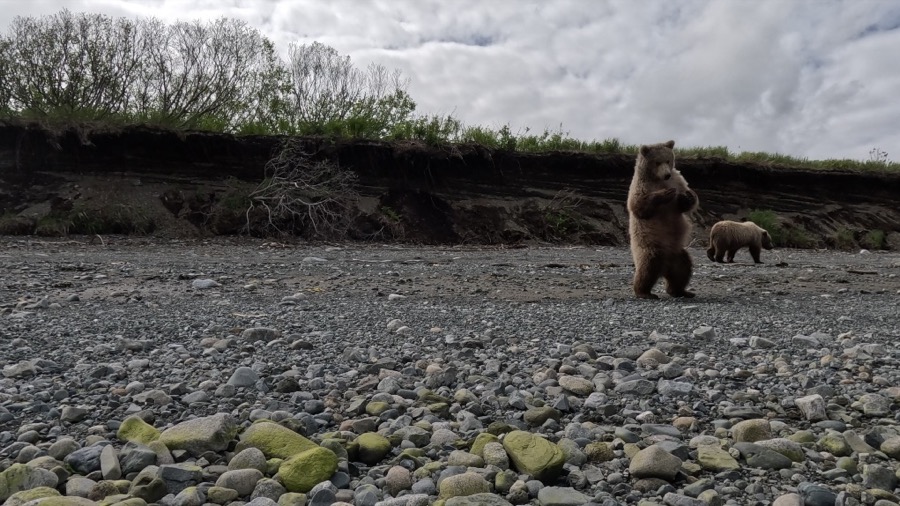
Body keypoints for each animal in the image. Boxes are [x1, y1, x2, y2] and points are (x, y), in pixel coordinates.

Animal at [627, 140, 699, 299]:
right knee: (647, 268)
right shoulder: (641, 185)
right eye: (657, 162)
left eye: (668, 160)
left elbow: (686, 202)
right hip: (650, 247)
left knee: (683, 269)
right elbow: (638, 206)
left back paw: (682, 291)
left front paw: (687, 197)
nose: (666, 174)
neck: (658, 179)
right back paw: (644, 292)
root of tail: (666, 267)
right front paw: (665, 194)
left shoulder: (678, 180)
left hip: (678, 253)